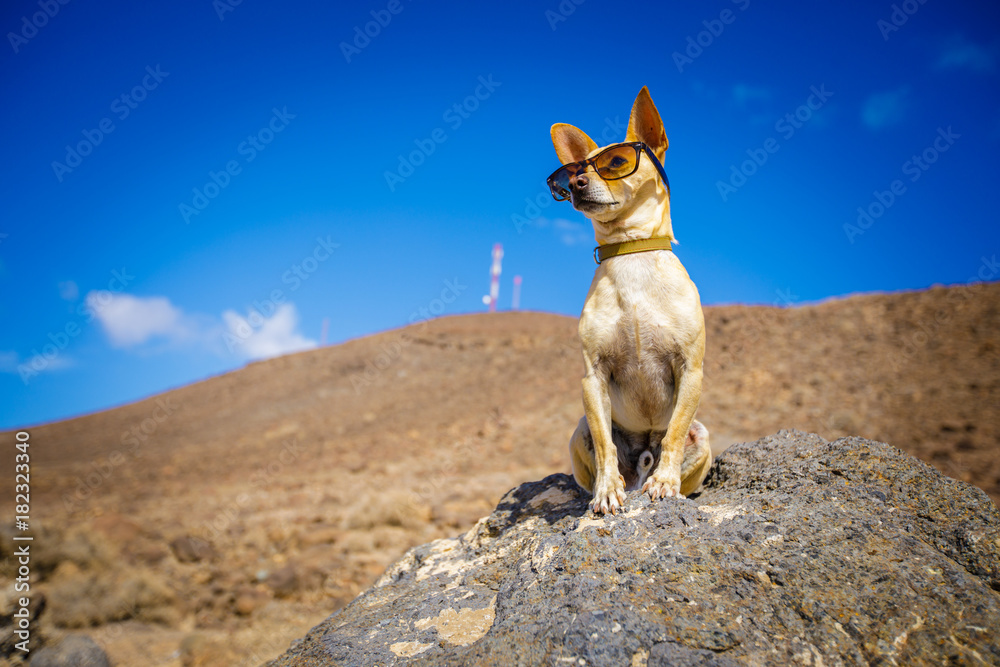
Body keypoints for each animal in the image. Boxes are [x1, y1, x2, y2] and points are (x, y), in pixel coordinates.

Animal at [548, 87, 712, 516]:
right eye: (572, 172)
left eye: (617, 163)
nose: (578, 184)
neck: (630, 251)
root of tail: (640, 468)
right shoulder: (593, 377)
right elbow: (605, 445)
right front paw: (606, 491)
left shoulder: (691, 369)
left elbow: (674, 435)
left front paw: (667, 482)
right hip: (578, 429)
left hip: (702, 434)